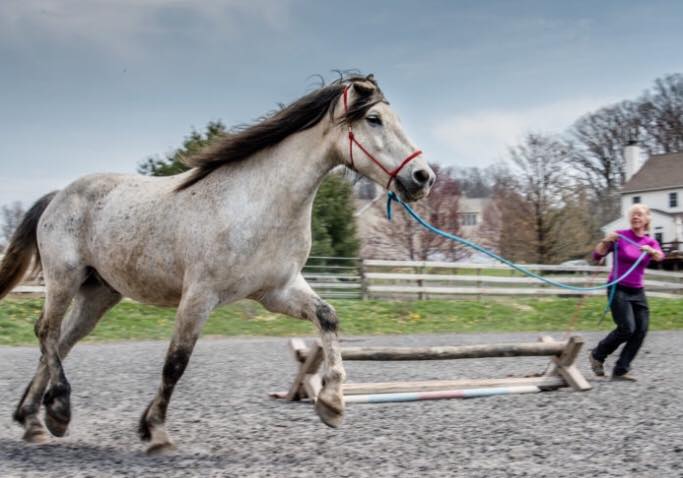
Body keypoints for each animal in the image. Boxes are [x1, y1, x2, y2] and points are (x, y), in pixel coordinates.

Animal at [0, 73, 436, 454]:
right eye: (374, 119)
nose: (423, 177)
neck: (259, 203)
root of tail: (58, 195)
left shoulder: (277, 290)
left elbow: (328, 317)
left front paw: (332, 403)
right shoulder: (200, 295)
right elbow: (175, 363)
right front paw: (156, 433)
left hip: (99, 294)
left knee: (62, 342)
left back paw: (35, 419)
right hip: (64, 277)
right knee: (46, 332)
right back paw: (55, 412)